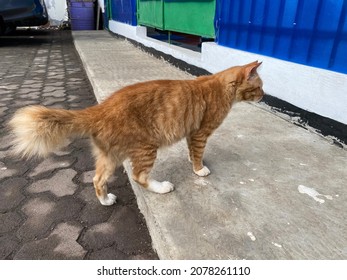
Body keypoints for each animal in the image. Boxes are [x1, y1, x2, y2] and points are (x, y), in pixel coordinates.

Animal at [8, 61, 264, 206]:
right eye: (260, 87)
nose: (263, 96)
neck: (219, 85)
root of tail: (100, 109)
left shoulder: (192, 134)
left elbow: (192, 151)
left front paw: (192, 160)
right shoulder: (200, 133)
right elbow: (198, 154)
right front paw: (199, 169)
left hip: (110, 157)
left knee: (97, 179)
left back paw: (105, 200)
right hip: (146, 148)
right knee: (139, 176)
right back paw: (162, 187)